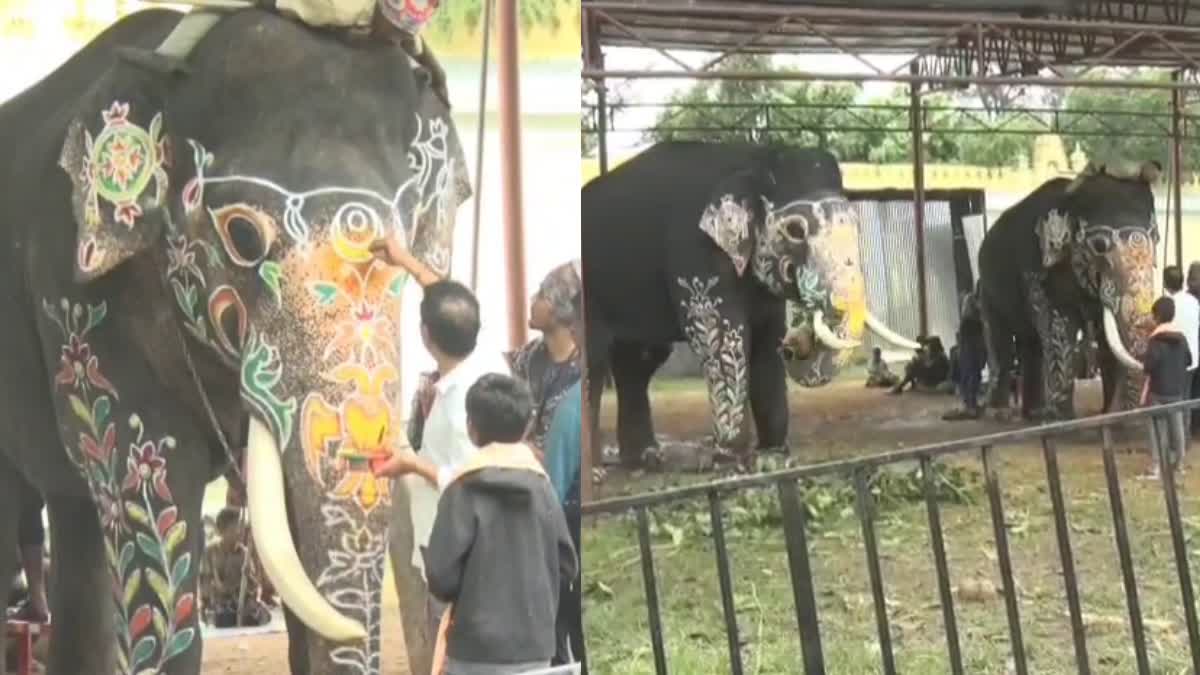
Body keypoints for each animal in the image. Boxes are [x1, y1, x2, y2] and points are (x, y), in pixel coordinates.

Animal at [583, 140, 916, 468]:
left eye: (856, 225)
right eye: (795, 231)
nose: (793, 346)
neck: (752, 156)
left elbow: (767, 341)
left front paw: (773, 456)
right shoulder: (696, 254)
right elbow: (725, 341)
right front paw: (730, 462)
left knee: (637, 361)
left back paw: (645, 459)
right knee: (595, 361)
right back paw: (599, 471)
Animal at [979, 159, 1156, 417]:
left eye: (1157, 239)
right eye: (1099, 246)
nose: (1113, 411)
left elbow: (1105, 338)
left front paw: (1108, 417)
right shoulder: (1038, 269)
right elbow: (1059, 328)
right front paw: (1063, 420)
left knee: (1031, 343)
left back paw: (1033, 413)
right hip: (986, 289)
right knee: (1000, 342)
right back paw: (1001, 414)